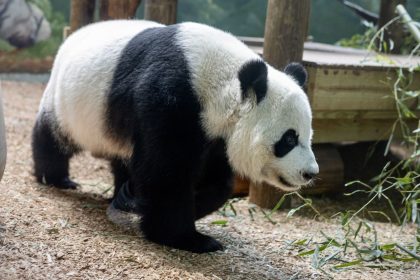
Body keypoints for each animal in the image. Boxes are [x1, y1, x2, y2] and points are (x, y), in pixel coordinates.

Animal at [32, 20, 318, 254]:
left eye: (308, 137)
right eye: (289, 140)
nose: (310, 173)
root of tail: (72, 36)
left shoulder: (212, 133)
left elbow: (217, 181)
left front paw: (183, 205)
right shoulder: (170, 98)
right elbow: (166, 172)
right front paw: (186, 238)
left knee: (122, 156)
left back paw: (122, 194)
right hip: (68, 100)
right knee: (53, 136)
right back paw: (56, 177)